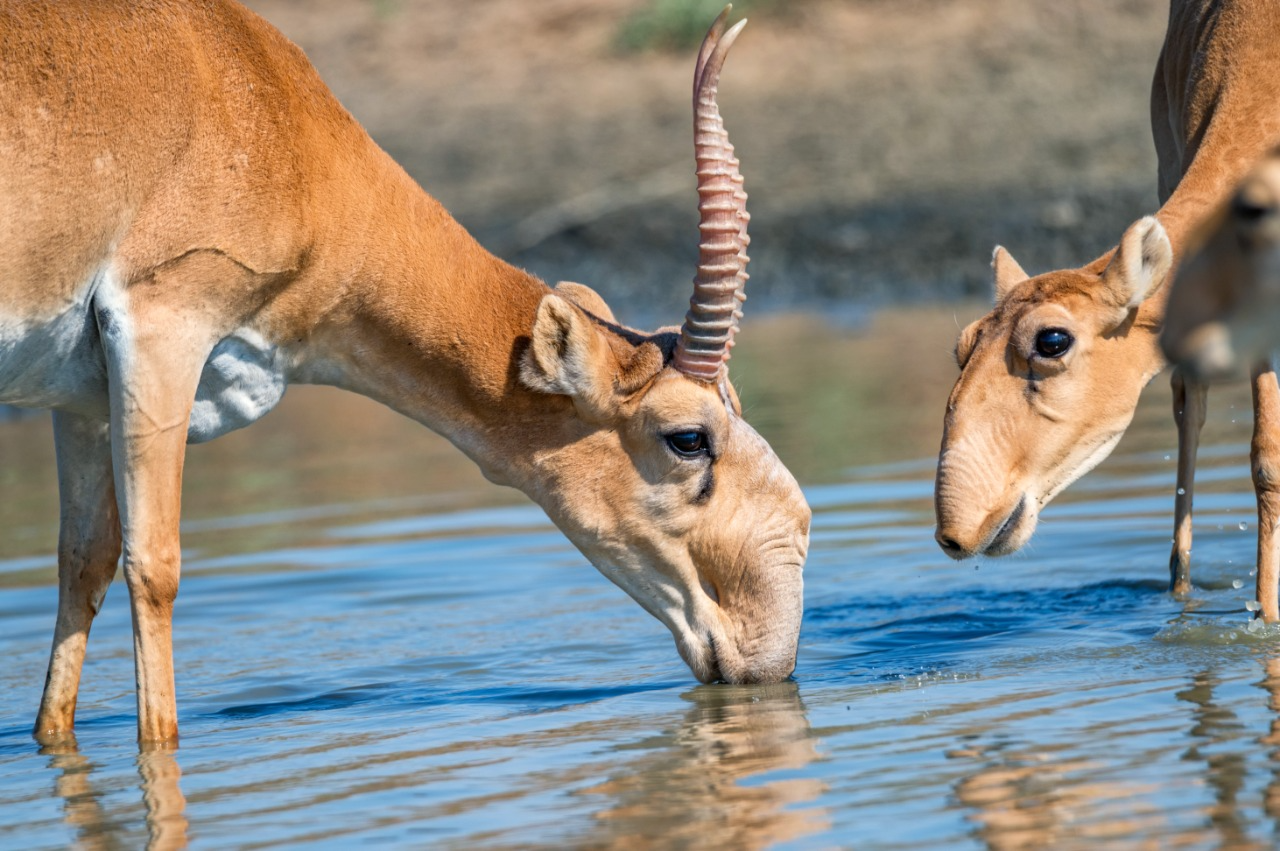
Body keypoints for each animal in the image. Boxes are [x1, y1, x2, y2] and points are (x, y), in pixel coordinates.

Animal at [0, 1, 803, 742]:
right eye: (688, 437)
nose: (774, 650)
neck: (263, 101)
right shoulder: (162, 327)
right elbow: (155, 567)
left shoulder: (82, 403)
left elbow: (84, 565)